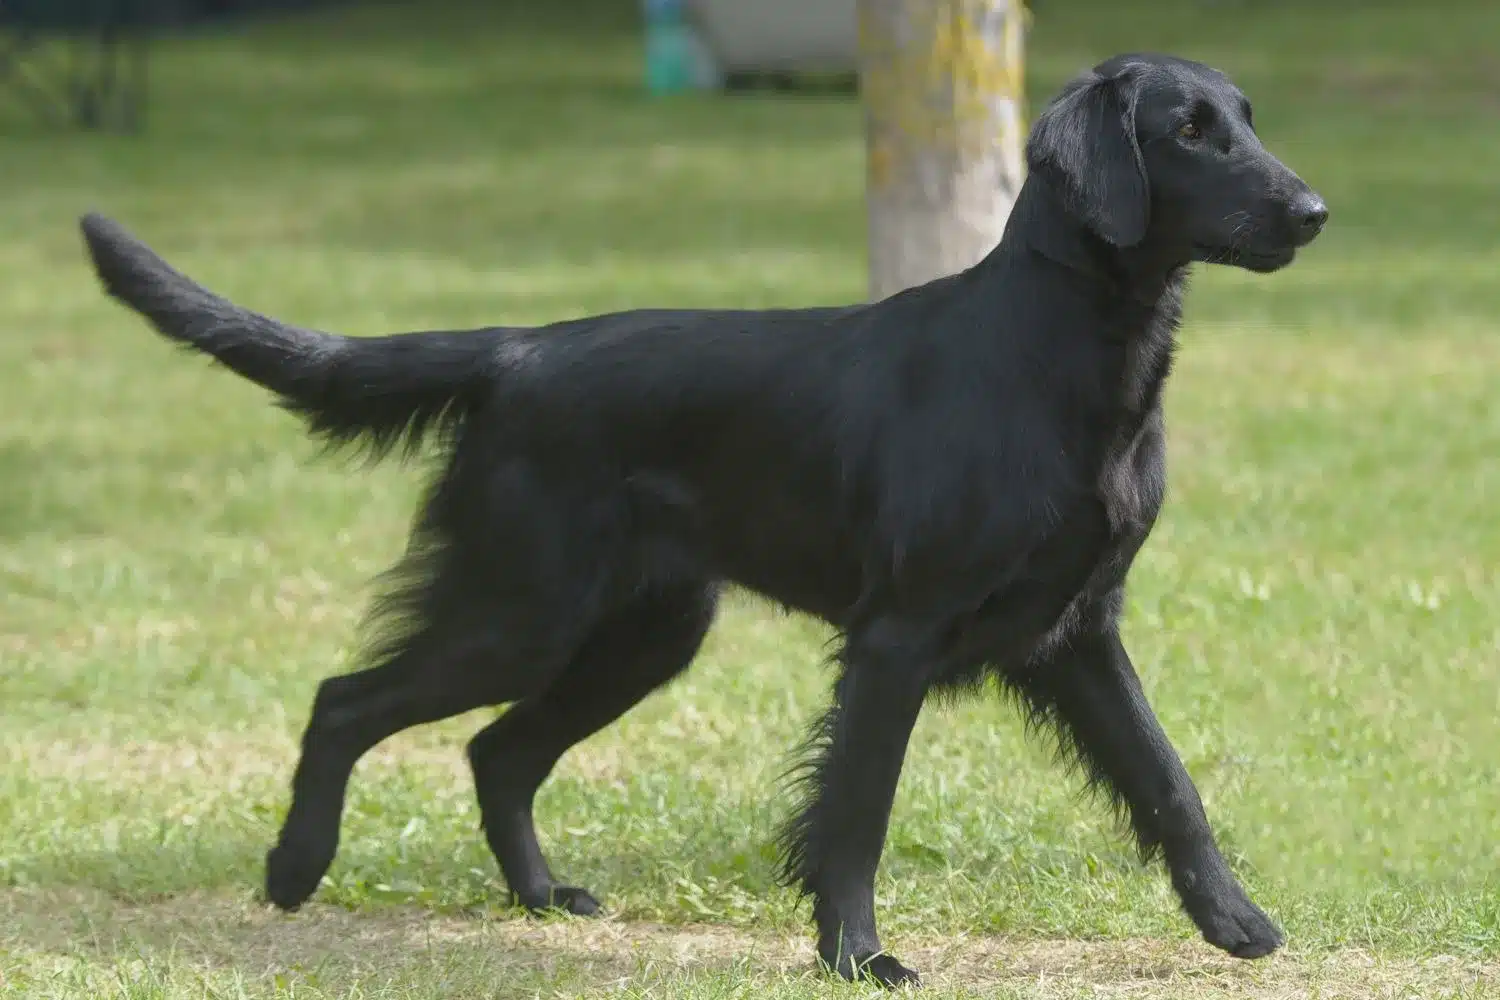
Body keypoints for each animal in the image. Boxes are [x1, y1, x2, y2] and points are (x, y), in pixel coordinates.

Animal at [82, 52, 1326, 983]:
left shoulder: (1078, 627)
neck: (1064, 354)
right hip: (520, 609)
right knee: (346, 702)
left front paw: (1236, 922)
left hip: (643, 631)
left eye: (1246, 122)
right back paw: (294, 869)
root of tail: (519, 351)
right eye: (1190, 132)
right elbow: (857, 809)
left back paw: (540, 897)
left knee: (497, 748)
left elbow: (1169, 780)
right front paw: (857, 956)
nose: (1314, 211)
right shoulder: (898, 636)